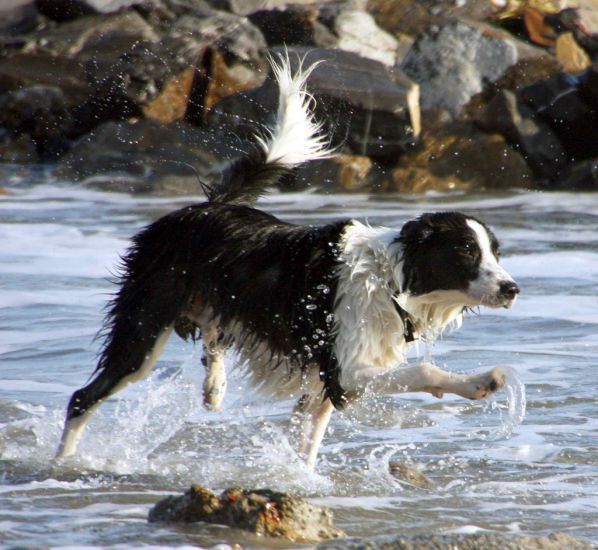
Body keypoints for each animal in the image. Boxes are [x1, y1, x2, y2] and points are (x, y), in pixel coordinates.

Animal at [58, 55, 524, 470]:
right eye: (466, 252)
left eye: (496, 253)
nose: (512, 289)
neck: (392, 284)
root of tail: (206, 208)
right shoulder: (343, 376)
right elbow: (426, 370)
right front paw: (481, 382)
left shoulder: (320, 389)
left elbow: (306, 446)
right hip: (144, 326)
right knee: (83, 397)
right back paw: (62, 463)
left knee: (212, 336)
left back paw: (214, 386)